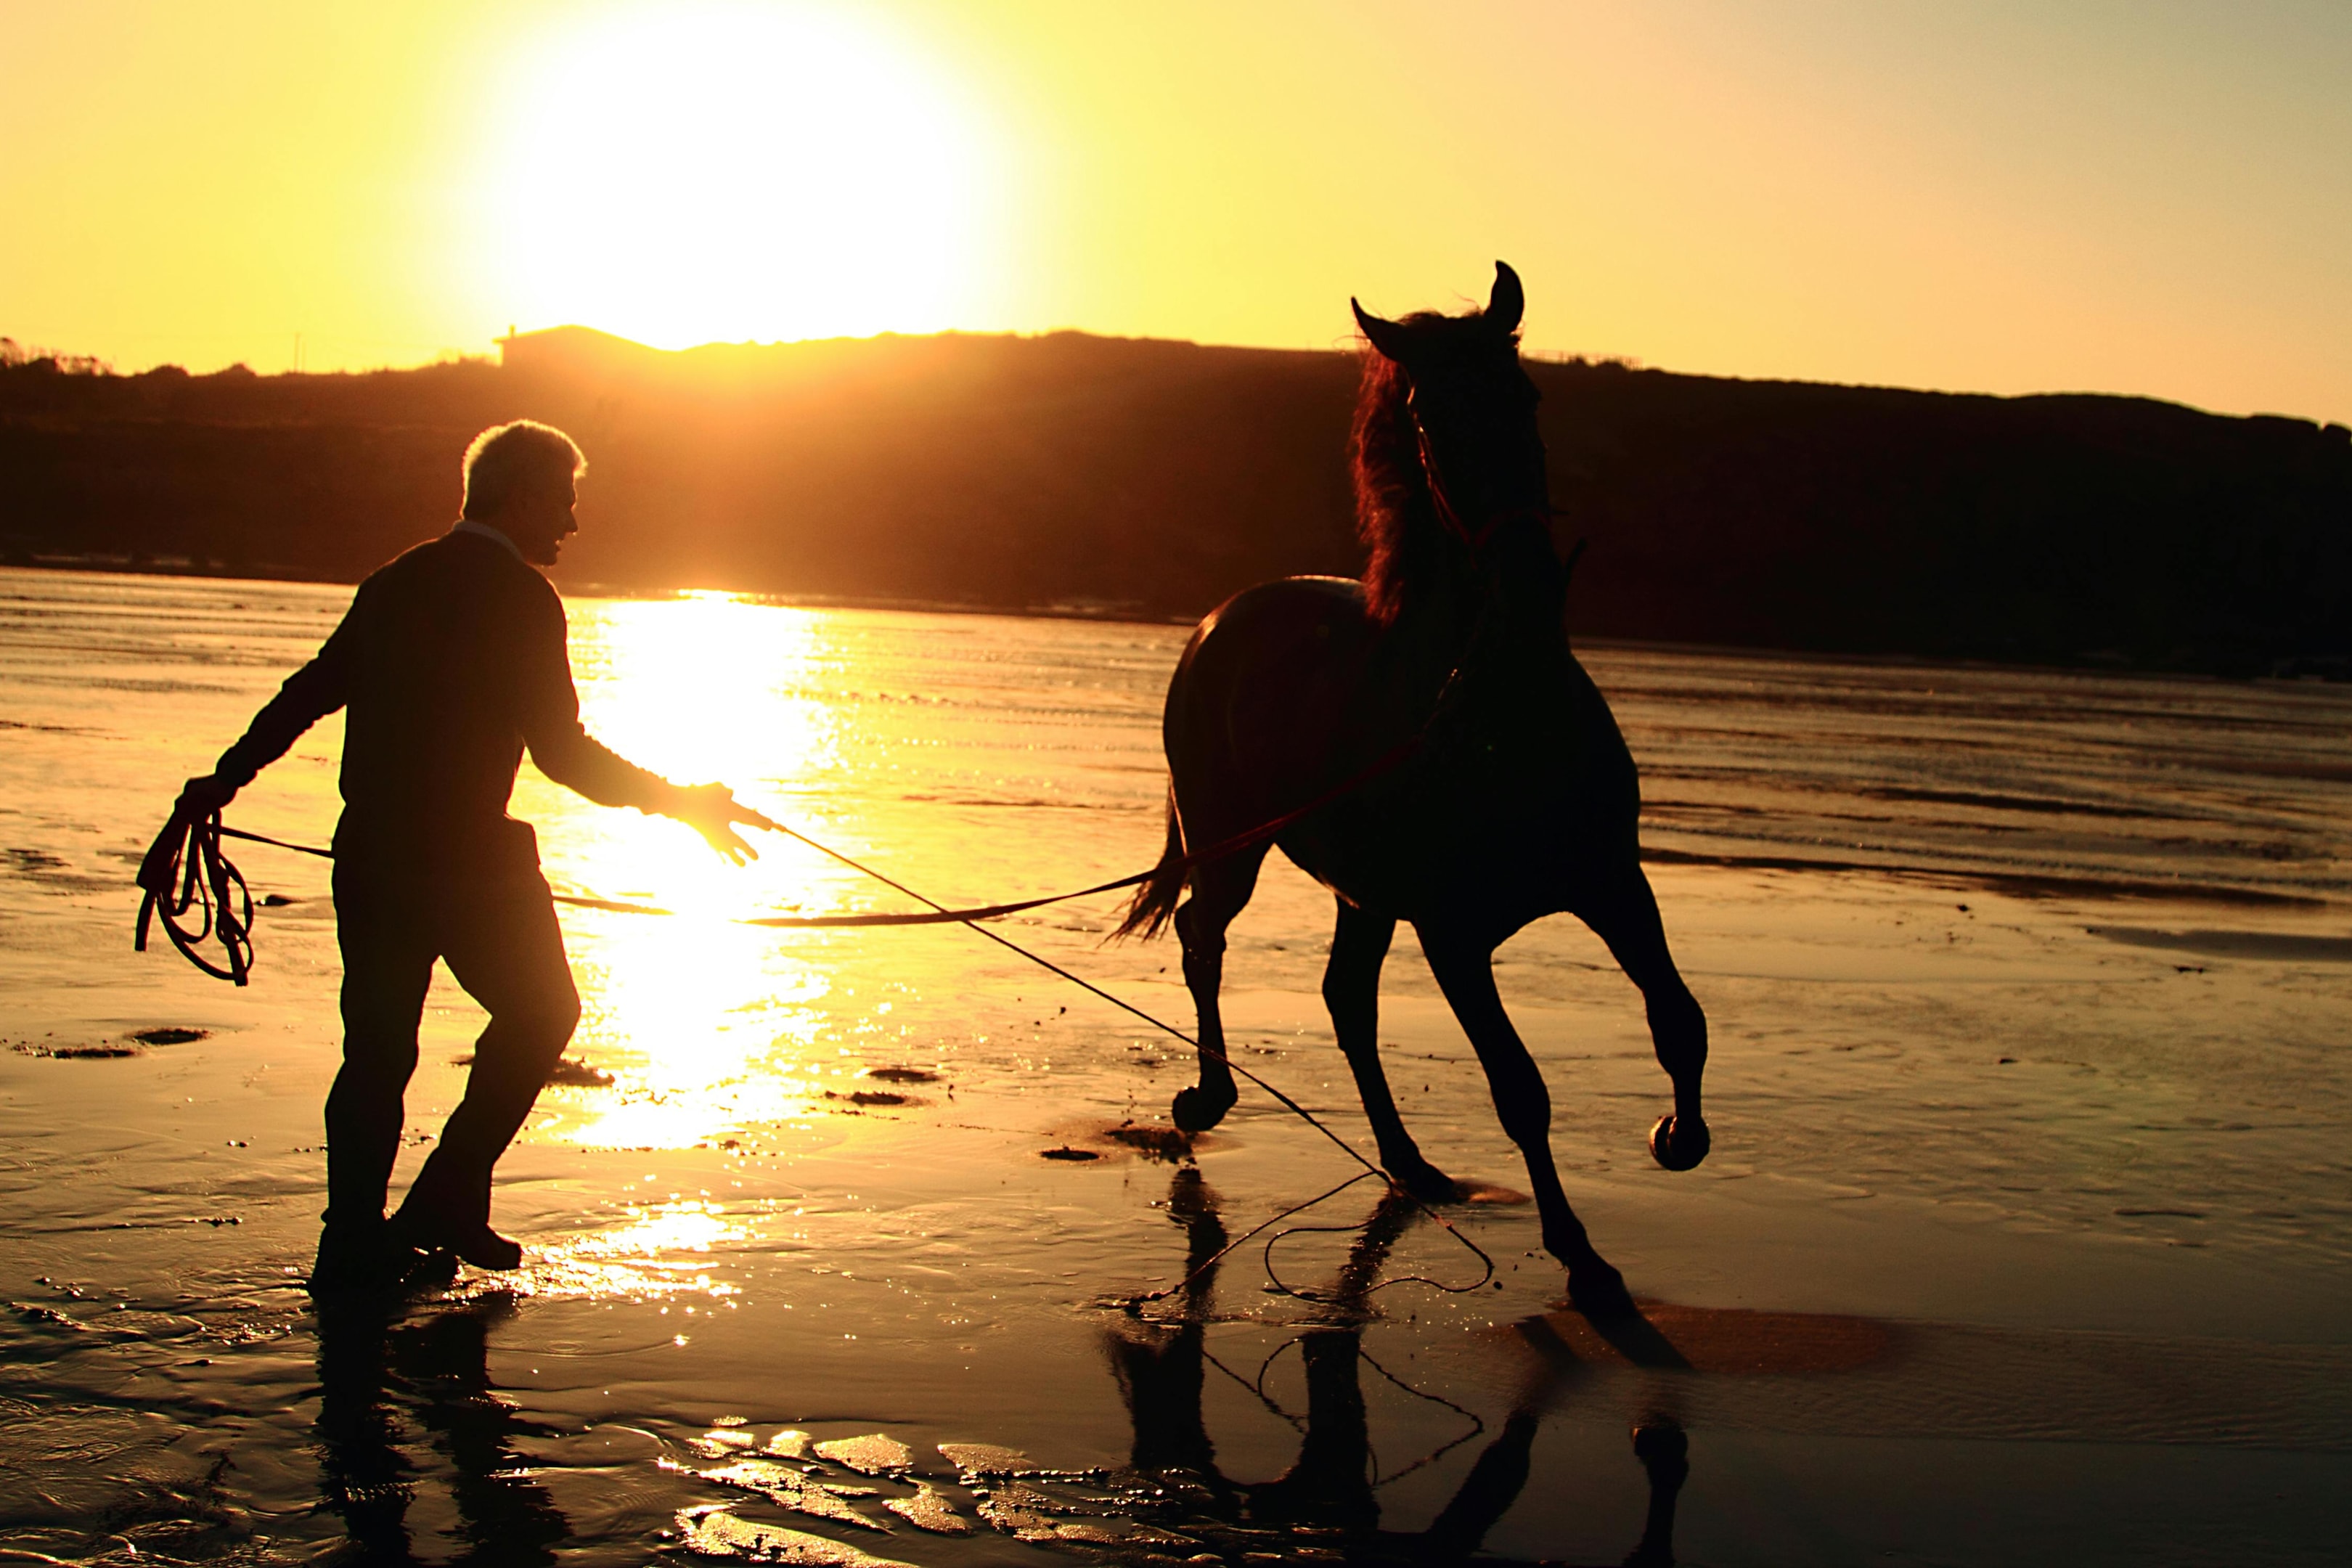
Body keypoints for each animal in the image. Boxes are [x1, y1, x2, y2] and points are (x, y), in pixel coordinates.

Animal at [1116, 262, 1709, 1316]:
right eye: (1431, 418)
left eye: (1528, 395)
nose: (1527, 585)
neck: (1498, 698)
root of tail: (1219, 619)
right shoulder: (1453, 932)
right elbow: (1520, 1087)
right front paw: (1582, 1257)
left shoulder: (1611, 882)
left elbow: (1681, 1022)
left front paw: (1677, 1139)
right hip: (1237, 844)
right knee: (1202, 935)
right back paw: (1209, 1099)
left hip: (1363, 894)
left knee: (1346, 997)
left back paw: (1412, 1162)